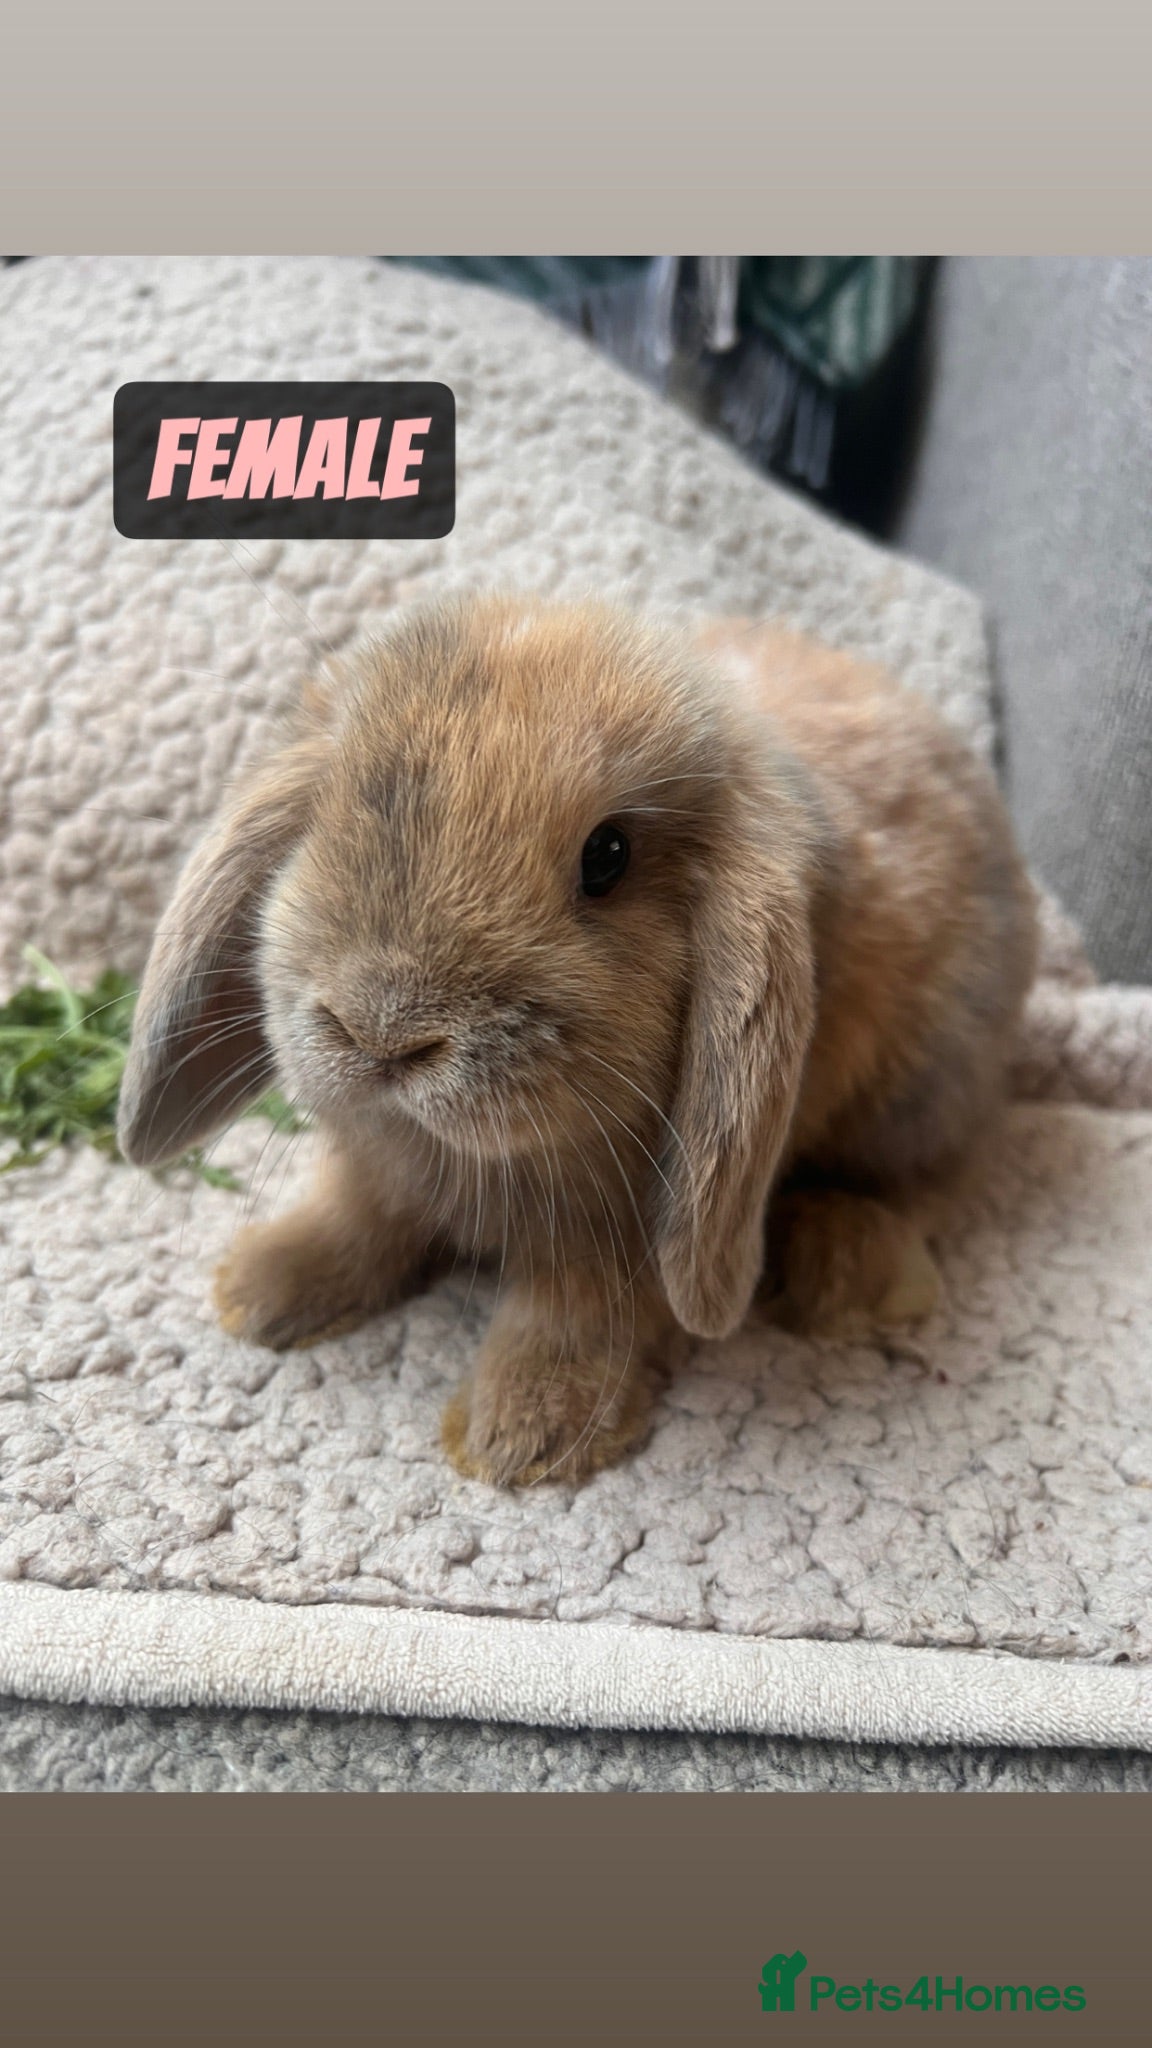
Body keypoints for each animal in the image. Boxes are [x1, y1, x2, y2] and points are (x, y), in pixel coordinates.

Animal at [117, 593, 1039, 1487]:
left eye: (608, 856)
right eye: (357, 802)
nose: (383, 1033)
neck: (471, 1161)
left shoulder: (626, 1238)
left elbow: (573, 1313)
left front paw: (523, 1437)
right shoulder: (381, 1173)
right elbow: (356, 1215)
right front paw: (263, 1288)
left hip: (922, 1092)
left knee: (928, 1185)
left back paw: (845, 1272)